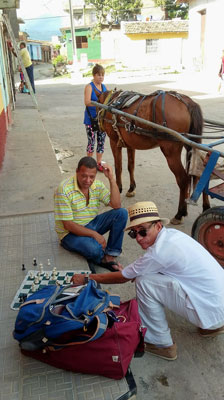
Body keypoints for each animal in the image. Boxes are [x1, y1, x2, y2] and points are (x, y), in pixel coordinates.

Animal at [96, 88, 205, 223]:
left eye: (95, 106)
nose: (94, 125)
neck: (111, 102)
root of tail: (187, 102)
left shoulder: (114, 142)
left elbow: (118, 167)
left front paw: (118, 188)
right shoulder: (131, 144)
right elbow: (130, 166)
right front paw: (131, 188)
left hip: (170, 152)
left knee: (183, 179)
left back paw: (180, 213)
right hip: (190, 143)